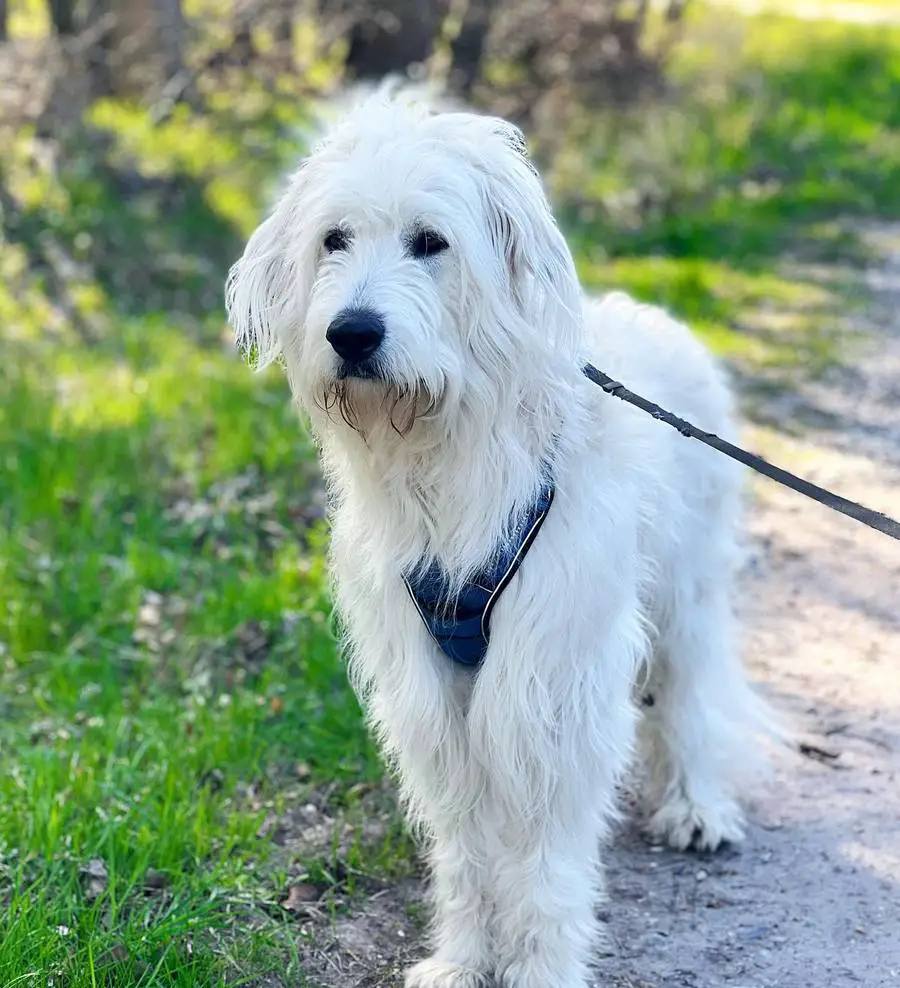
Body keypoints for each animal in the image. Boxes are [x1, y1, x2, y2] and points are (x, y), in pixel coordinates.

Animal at [229, 90, 768, 988]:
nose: (352, 333)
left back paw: (696, 805)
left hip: (686, 592)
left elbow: (545, 864)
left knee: (691, 695)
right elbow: (465, 847)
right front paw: (462, 957)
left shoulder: (548, 687)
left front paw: (540, 965)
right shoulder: (431, 695)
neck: (444, 458)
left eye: (430, 242)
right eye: (335, 238)